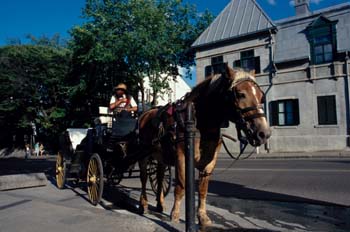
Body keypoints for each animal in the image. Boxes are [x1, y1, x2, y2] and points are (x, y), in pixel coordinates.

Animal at [137, 64, 270, 227]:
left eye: (261, 96)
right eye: (240, 94)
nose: (264, 133)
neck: (201, 121)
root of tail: (144, 114)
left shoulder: (209, 162)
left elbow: (203, 189)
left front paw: (202, 216)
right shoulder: (182, 156)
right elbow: (181, 185)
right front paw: (175, 214)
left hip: (161, 157)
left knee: (160, 177)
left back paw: (159, 203)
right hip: (143, 155)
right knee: (144, 178)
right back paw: (143, 204)